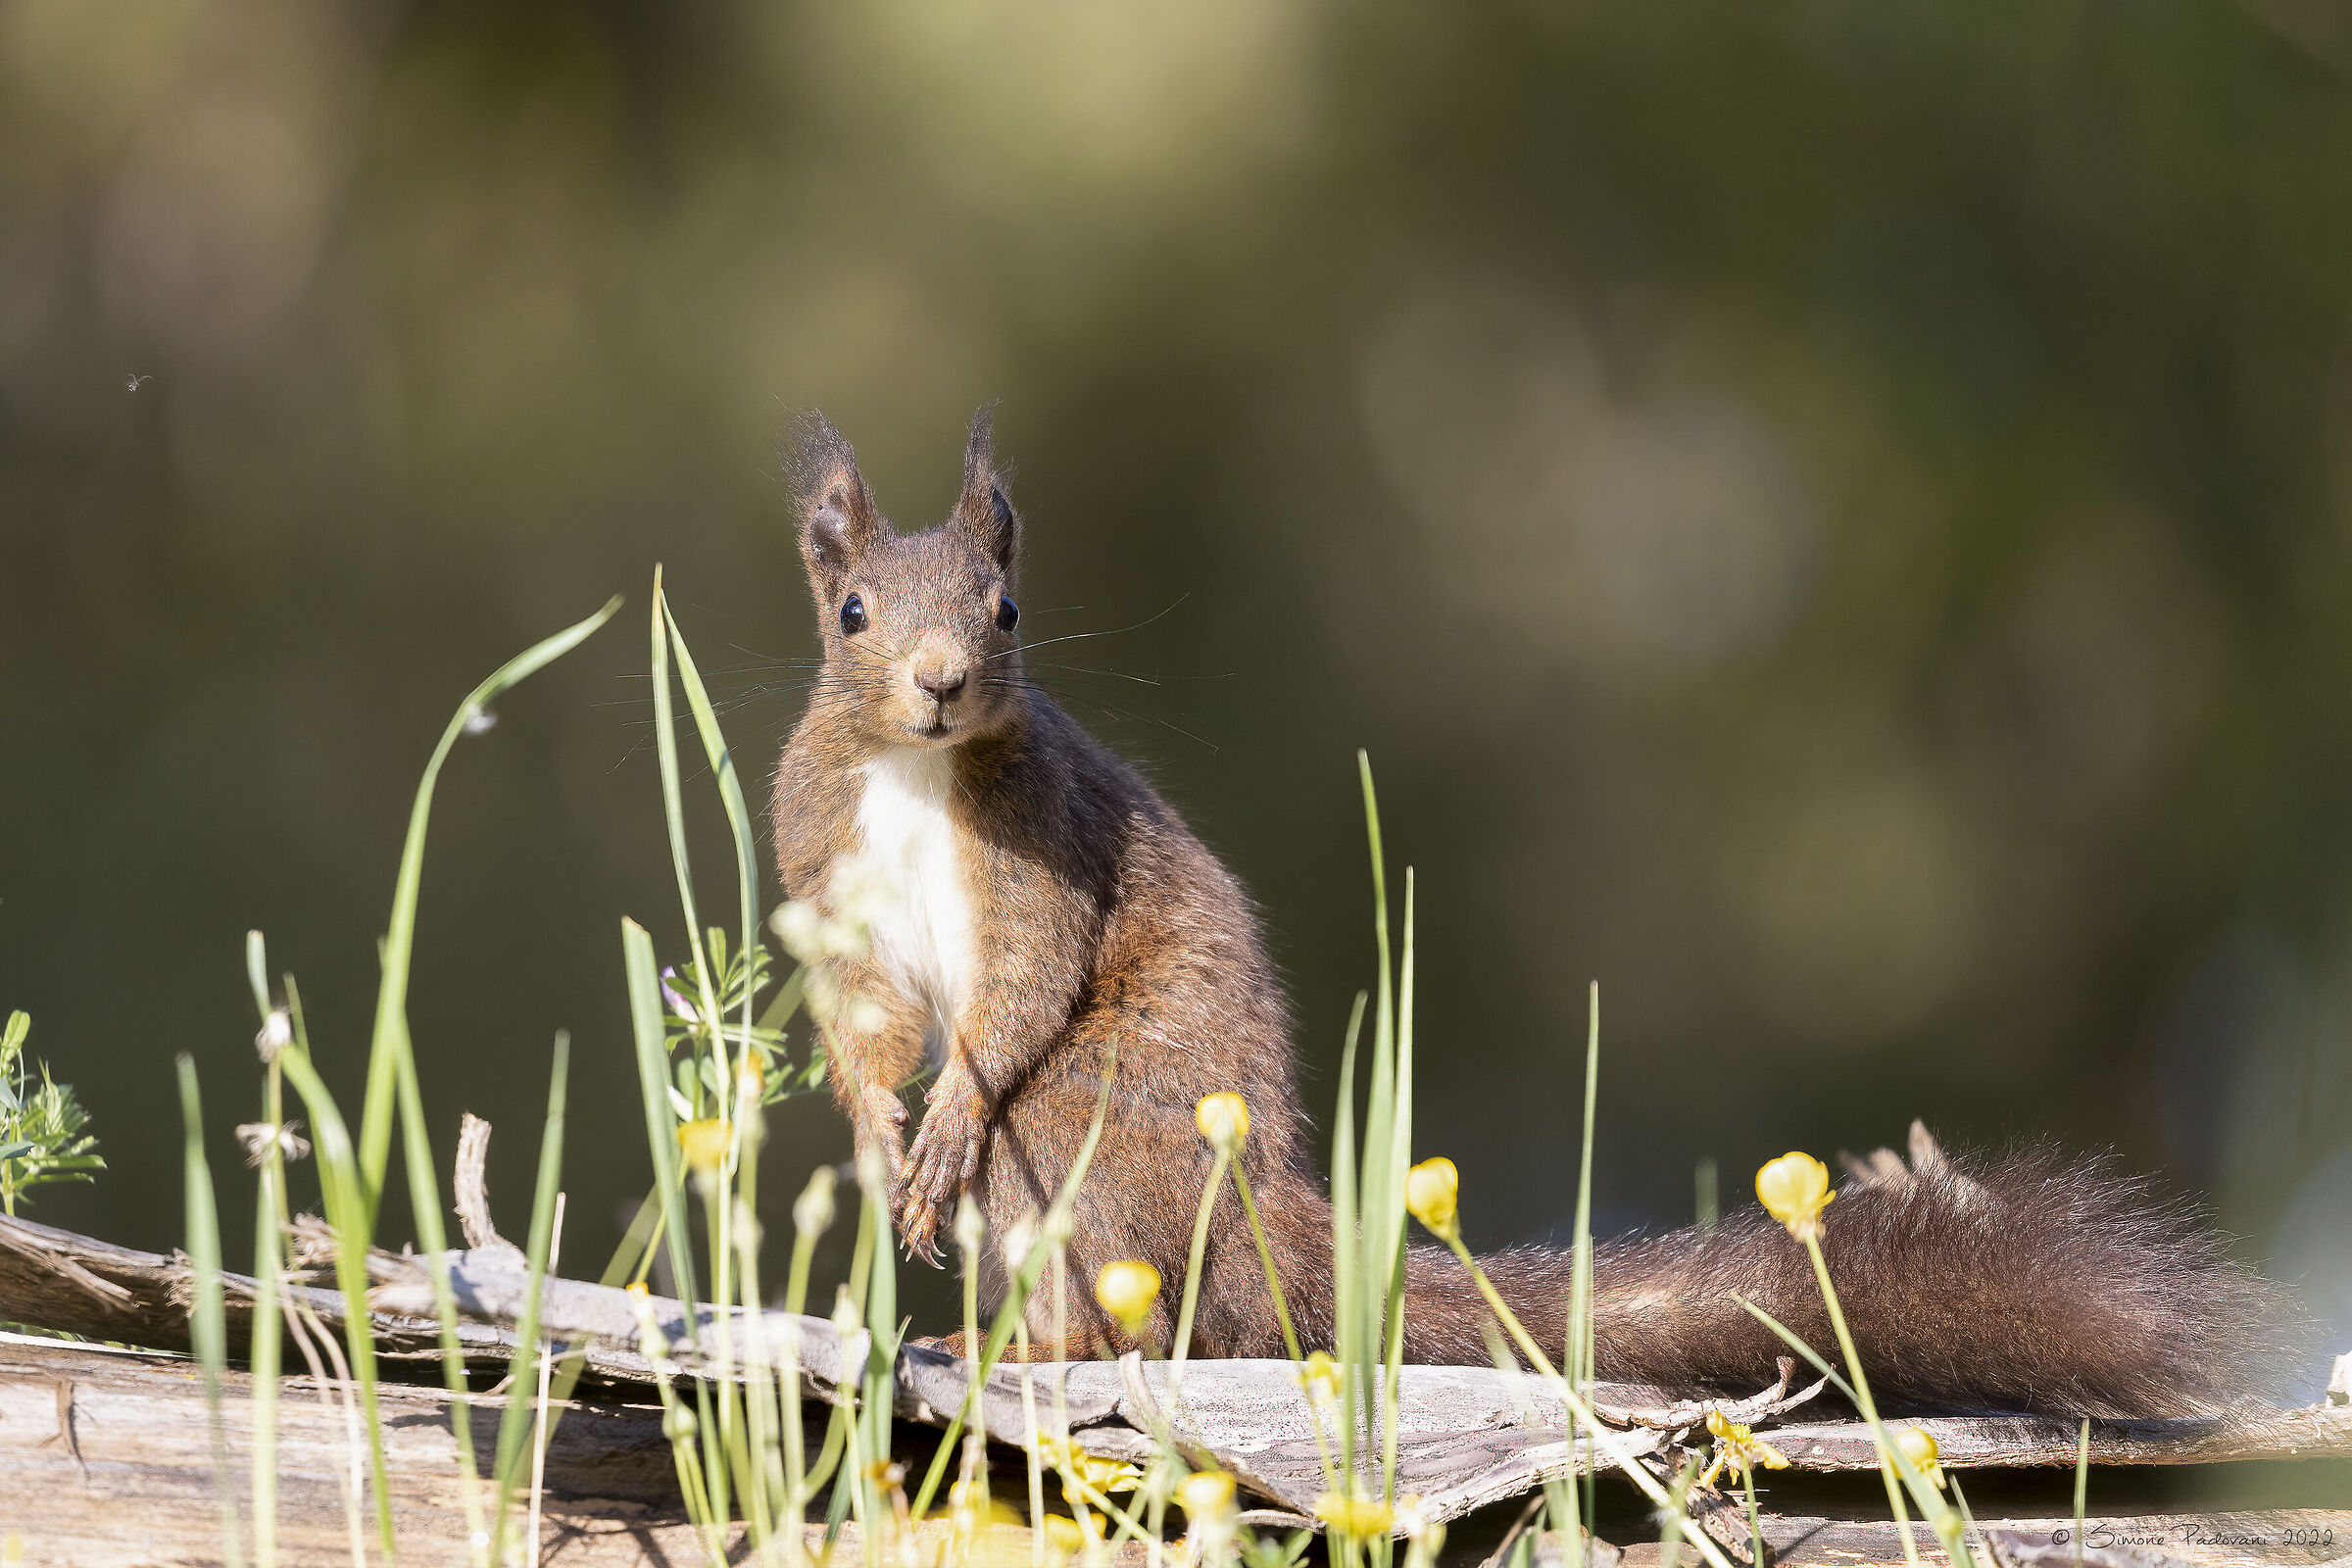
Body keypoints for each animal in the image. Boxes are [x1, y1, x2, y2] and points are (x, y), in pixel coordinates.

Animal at [769, 408, 2302, 1419]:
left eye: (1007, 609)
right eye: (850, 614)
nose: (940, 683)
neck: (917, 772)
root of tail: (1277, 1242)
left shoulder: (1041, 854)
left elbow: (1024, 988)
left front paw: (943, 1117)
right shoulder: (824, 869)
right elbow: (863, 1022)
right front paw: (882, 1137)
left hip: (1092, 1128)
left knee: (1122, 1295)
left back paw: (1033, 1350)